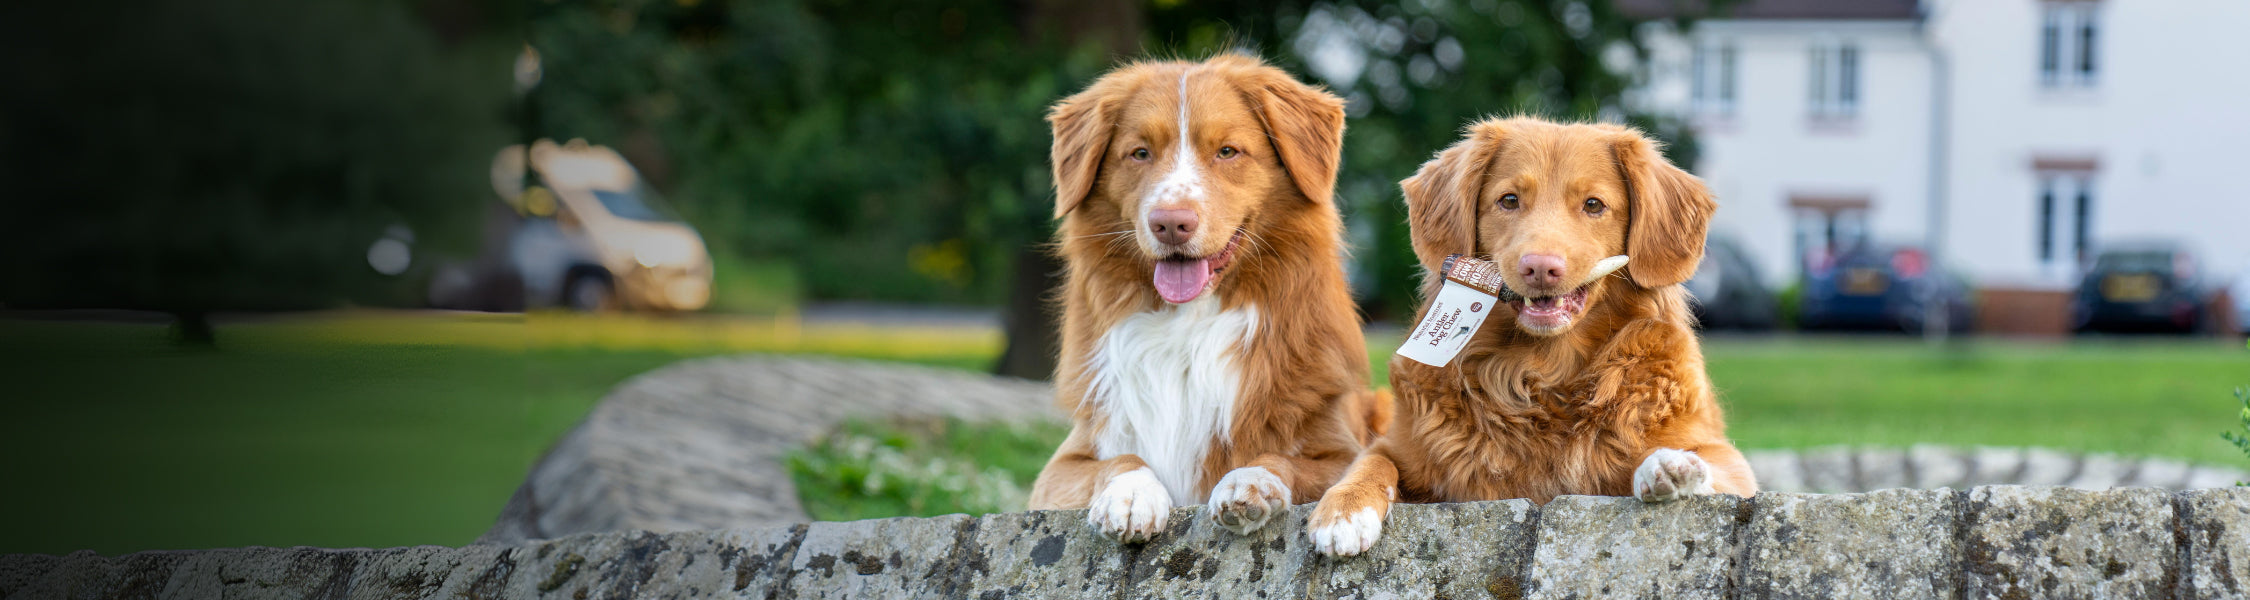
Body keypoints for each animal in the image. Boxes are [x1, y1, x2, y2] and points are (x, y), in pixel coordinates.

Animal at [1030, 56, 1377, 543]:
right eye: (1139, 153)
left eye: (1227, 151)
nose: (1170, 224)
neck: (1187, 325)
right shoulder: (1063, 465)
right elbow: (1118, 460)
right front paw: (1131, 493)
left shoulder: (1342, 451)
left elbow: (1281, 459)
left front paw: (1250, 480)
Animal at [1305, 117, 1755, 559]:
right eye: (1509, 200)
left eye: (1594, 205)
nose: (1540, 268)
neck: (1543, 372)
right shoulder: (1401, 446)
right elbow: (1372, 462)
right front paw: (1343, 510)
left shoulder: (1731, 465)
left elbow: (1702, 464)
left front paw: (1667, 466)